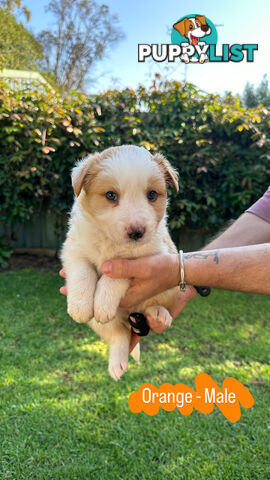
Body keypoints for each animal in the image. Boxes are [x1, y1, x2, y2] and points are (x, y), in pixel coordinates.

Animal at [61, 144, 179, 380]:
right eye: (110, 195)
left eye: (152, 194)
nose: (137, 232)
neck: (110, 241)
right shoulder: (74, 250)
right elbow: (82, 272)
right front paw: (80, 306)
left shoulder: (149, 256)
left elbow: (114, 276)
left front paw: (103, 301)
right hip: (103, 323)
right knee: (118, 334)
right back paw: (117, 365)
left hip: (170, 289)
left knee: (154, 306)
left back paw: (160, 314)